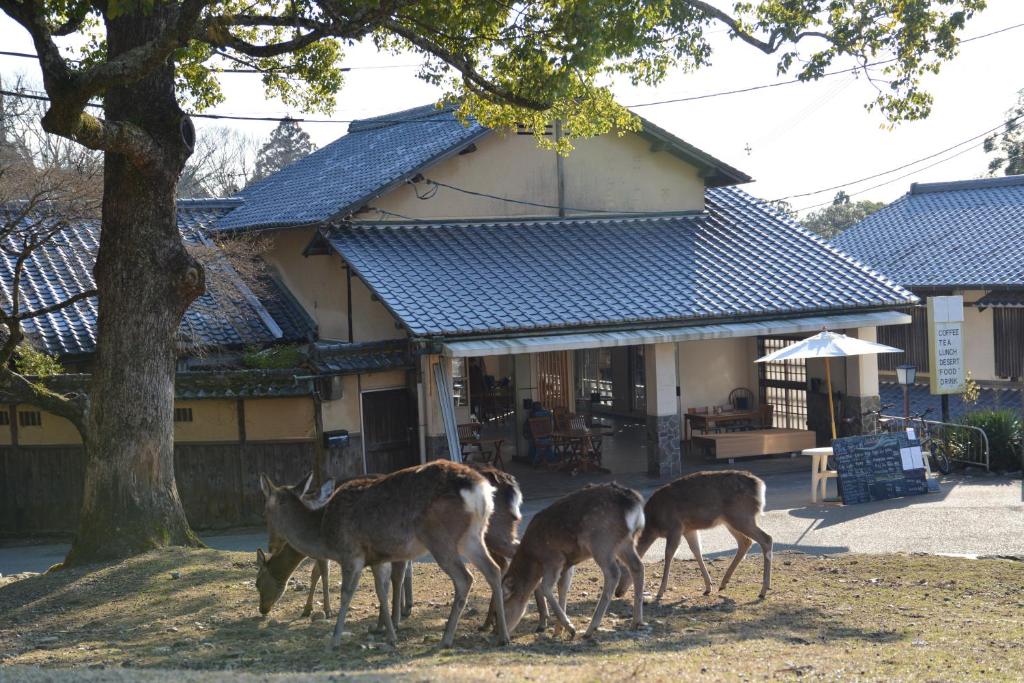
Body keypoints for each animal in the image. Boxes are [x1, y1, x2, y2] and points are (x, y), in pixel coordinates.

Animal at [260, 462, 507, 651]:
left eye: (267, 511)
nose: (271, 544)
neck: (324, 533)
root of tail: (481, 489)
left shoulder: (351, 554)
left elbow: (347, 594)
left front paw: (335, 639)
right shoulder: (378, 559)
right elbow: (382, 591)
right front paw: (391, 636)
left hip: (440, 537)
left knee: (466, 578)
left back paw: (446, 639)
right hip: (473, 536)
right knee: (493, 570)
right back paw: (502, 636)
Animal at [501, 481, 643, 643]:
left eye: (500, 611)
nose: (495, 633)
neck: (533, 557)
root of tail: (633, 504)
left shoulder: (554, 559)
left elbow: (545, 587)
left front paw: (570, 628)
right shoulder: (567, 564)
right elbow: (562, 588)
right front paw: (558, 631)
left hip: (602, 542)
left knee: (613, 573)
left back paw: (590, 629)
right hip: (625, 542)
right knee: (637, 566)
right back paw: (636, 621)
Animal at [618, 473, 770, 602]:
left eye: (625, 568)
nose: (617, 592)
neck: (654, 525)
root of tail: (760, 485)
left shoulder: (675, 528)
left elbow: (668, 555)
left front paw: (660, 592)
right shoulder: (688, 529)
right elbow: (696, 550)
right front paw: (708, 587)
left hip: (741, 516)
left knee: (766, 539)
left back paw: (763, 591)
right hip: (731, 520)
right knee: (745, 541)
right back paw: (723, 583)